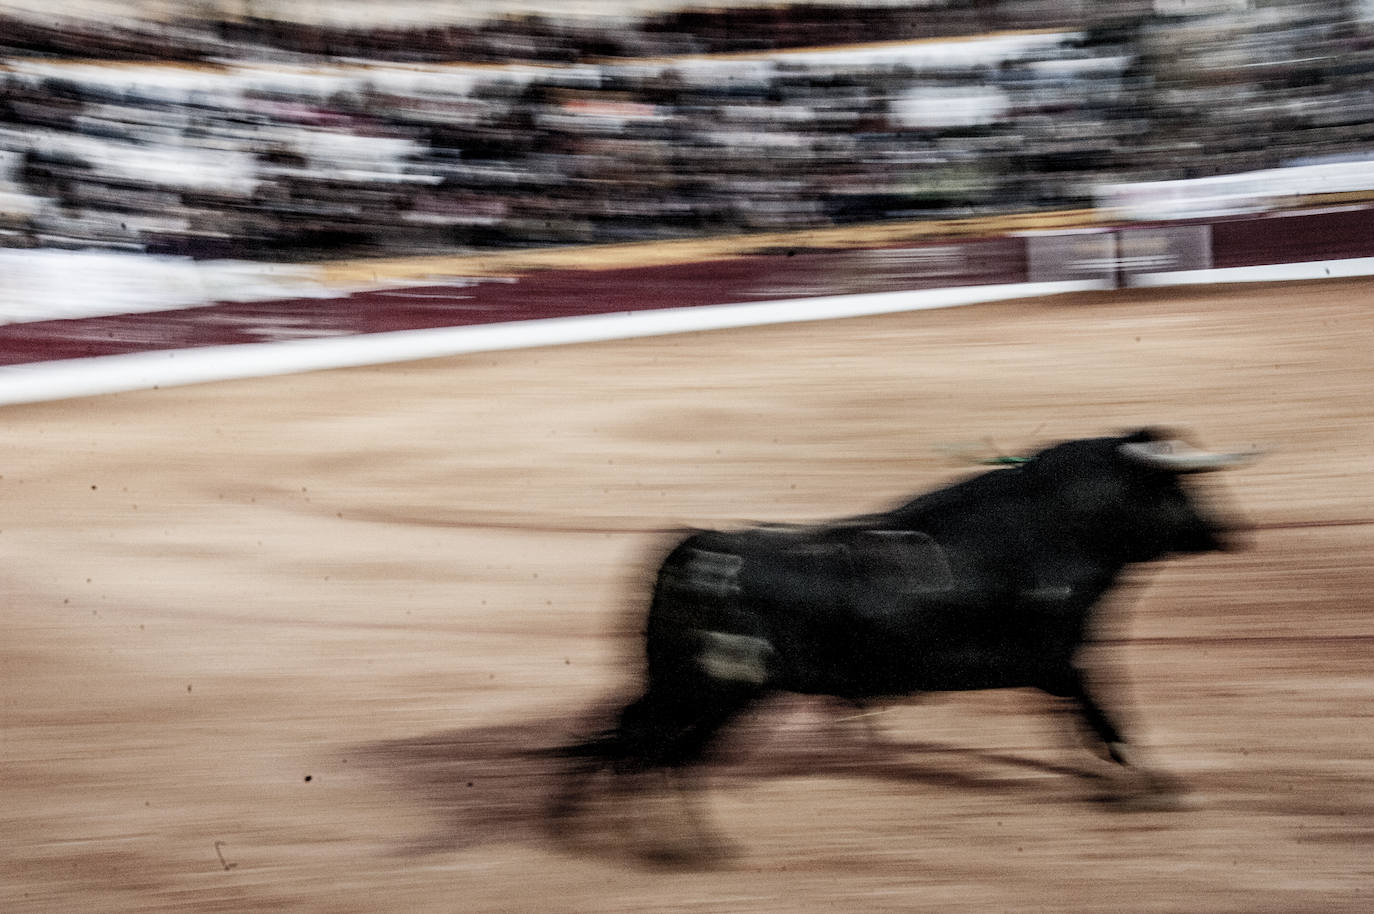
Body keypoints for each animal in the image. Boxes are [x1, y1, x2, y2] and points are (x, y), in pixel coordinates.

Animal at [555, 431, 1258, 846]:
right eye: (1178, 484)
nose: (1233, 533)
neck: (1054, 531)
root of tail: (694, 551)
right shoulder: (1061, 660)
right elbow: (1106, 717)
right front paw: (1154, 788)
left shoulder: (1049, 669)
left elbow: (1081, 724)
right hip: (717, 690)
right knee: (657, 747)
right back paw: (684, 847)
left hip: (690, 684)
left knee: (634, 733)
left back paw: (591, 827)